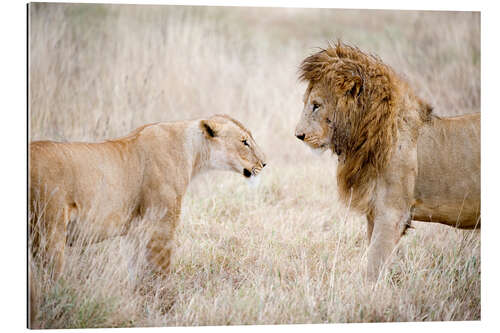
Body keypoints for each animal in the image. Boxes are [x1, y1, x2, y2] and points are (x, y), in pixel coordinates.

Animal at [29, 113, 268, 326]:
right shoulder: (160, 225)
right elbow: (160, 271)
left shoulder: (136, 231)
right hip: (49, 233)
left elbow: (137, 271)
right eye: (244, 142)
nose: (265, 163)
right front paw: (167, 308)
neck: (193, 153)